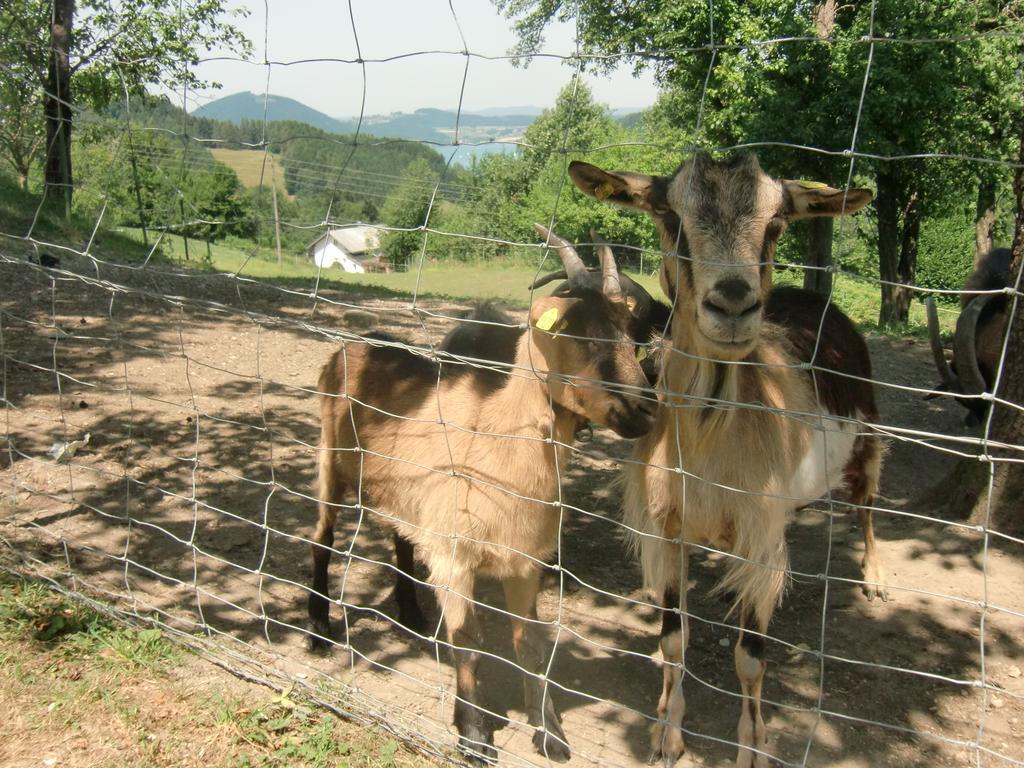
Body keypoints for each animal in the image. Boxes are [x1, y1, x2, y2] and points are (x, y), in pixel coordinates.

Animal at [307, 234, 655, 765]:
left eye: (631, 337)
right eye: (580, 336)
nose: (645, 409)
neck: (495, 435)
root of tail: (359, 342)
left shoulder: (525, 560)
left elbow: (529, 645)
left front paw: (549, 733)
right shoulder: (454, 559)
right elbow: (468, 643)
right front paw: (473, 735)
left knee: (400, 541)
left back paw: (411, 614)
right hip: (330, 459)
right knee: (321, 537)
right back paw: (318, 629)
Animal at [573, 151, 884, 768]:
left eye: (777, 223)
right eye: (670, 216)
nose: (734, 304)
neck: (709, 451)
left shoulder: (761, 536)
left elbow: (750, 657)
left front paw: (753, 748)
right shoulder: (665, 529)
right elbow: (673, 639)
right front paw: (666, 735)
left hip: (868, 433)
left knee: (867, 502)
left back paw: (877, 578)